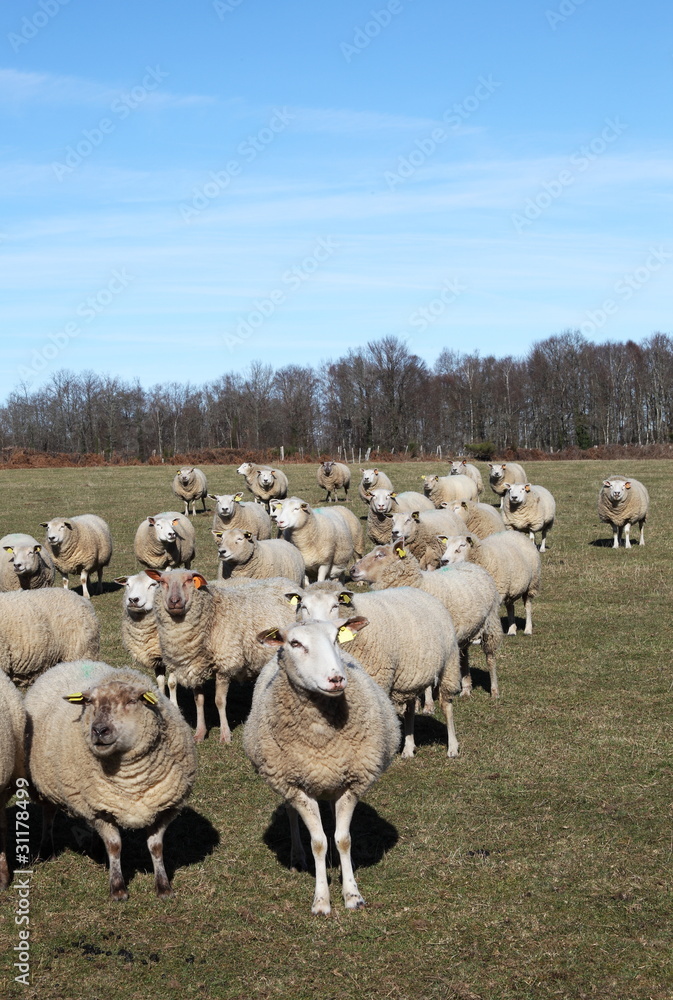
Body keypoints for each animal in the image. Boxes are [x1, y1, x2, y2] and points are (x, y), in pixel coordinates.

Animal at [24, 659, 197, 900]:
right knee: (49, 813)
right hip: (45, 785)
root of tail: (74, 662)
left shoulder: (164, 808)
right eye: (89, 702)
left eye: (132, 700)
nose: (99, 730)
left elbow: (156, 847)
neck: (131, 780)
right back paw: (46, 850)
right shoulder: (97, 809)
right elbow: (115, 846)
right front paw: (118, 888)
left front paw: (163, 887)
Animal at [147, 569, 300, 743]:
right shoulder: (195, 666)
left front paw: (225, 735)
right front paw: (200, 733)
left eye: (188, 580)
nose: (174, 601)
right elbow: (199, 701)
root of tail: (286, 581)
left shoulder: (225, 665)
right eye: (162, 582)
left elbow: (219, 701)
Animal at [243, 618, 400, 914]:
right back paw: (297, 857)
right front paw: (321, 900)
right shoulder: (296, 787)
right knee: (292, 815)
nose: (336, 678)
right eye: (295, 643)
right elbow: (318, 843)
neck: (322, 737)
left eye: (337, 637)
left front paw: (352, 894)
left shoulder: (351, 783)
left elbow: (342, 839)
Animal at [296, 584, 461, 758]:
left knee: (447, 706)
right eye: (303, 606)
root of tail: (420, 591)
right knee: (409, 710)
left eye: (335, 606)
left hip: (449, 664)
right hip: (409, 677)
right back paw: (408, 748)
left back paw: (452, 747)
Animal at [351, 544, 503, 700]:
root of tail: (472, 565)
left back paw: (494, 691)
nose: (352, 570)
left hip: (491, 624)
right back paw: (466, 689)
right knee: (464, 657)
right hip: (464, 635)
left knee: (490, 657)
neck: (419, 584)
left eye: (380, 555)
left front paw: (428, 702)